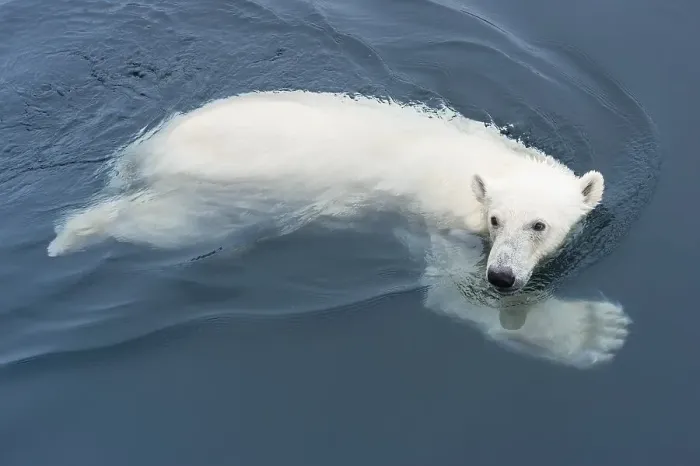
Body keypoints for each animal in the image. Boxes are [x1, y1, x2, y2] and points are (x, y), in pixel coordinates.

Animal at [47, 90, 630, 368]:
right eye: (495, 219)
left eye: (539, 224)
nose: (503, 276)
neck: (481, 164)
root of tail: (149, 150)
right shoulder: (442, 227)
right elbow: (453, 295)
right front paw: (594, 330)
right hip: (223, 193)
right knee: (164, 225)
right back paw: (68, 235)